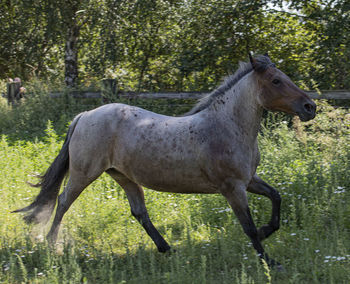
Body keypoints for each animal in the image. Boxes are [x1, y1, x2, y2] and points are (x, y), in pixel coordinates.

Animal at [12, 53, 316, 268]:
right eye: (276, 81)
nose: (310, 107)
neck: (226, 127)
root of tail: (84, 115)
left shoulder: (249, 180)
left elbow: (276, 197)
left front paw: (267, 231)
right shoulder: (232, 188)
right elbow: (249, 227)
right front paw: (271, 262)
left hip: (123, 176)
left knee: (139, 212)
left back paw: (167, 248)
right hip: (83, 173)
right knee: (63, 202)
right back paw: (51, 246)